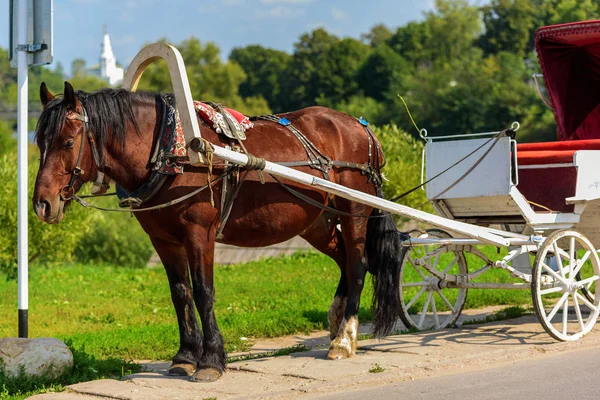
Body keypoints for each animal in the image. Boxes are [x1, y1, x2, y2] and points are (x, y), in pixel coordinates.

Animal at [30, 81, 400, 382]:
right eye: (39, 143)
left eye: (67, 142)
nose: (42, 204)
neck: (172, 151)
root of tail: (361, 127)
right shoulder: (163, 240)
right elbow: (180, 294)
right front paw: (184, 357)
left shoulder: (199, 233)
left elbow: (203, 292)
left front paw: (209, 361)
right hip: (318, 222)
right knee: (345, 259)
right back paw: (337, 321)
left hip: (354, 212)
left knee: (358, 264)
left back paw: (345, 337)